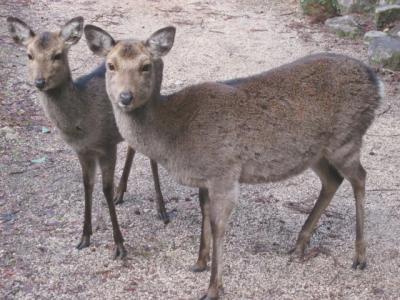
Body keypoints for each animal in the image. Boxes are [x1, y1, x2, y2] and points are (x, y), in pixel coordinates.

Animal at [6, 16, 170, 258]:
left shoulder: (107, 145)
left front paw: (120, 245)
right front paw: (84, 237)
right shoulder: (82, 151)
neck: (82, 126)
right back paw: (121, 193)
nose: (39, 82)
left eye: (58, 54)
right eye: (29, 54)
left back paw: (161, 209)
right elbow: (87, 185)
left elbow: (104, 189)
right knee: (133, 146)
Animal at [83, 24, 382, 298]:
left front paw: (213, 288)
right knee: (333, 180)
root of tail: (376, 82)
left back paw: (360, 256)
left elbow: (218, 226)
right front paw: (199, 262)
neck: (175, 138)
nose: (125, 97)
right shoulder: (205, 178)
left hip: (346, 139)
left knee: (360, 177)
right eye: (110, 65)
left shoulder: (223, 172)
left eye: (145, 66)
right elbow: (203, 213)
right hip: (315, 152)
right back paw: (299, 245)